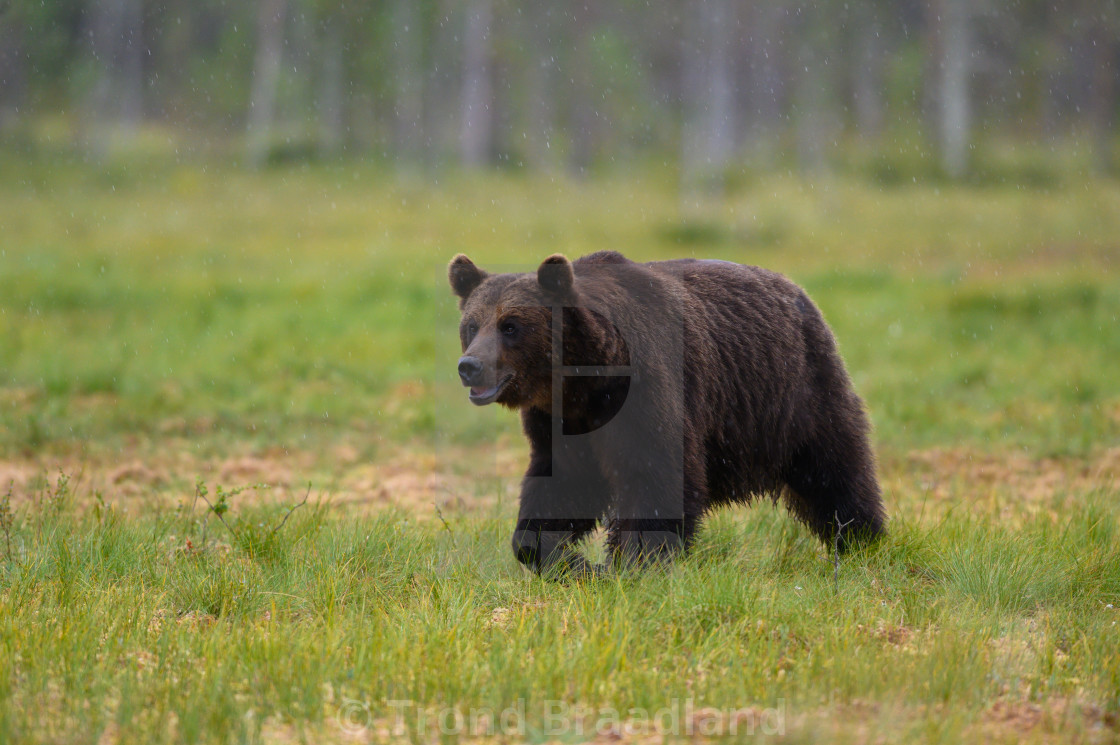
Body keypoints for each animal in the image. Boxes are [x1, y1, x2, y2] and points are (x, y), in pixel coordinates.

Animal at [445, 250, 882, 573]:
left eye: (511, 326)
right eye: (472, 325)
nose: (469, 366)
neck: (586, 382)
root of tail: (794, 289)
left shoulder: (648, 393)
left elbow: (657, 476)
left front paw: (634, 562)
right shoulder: (562, 423)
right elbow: (559, 487)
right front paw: (566, 559)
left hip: (793, 392)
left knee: (834, 466)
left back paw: (861, 540)